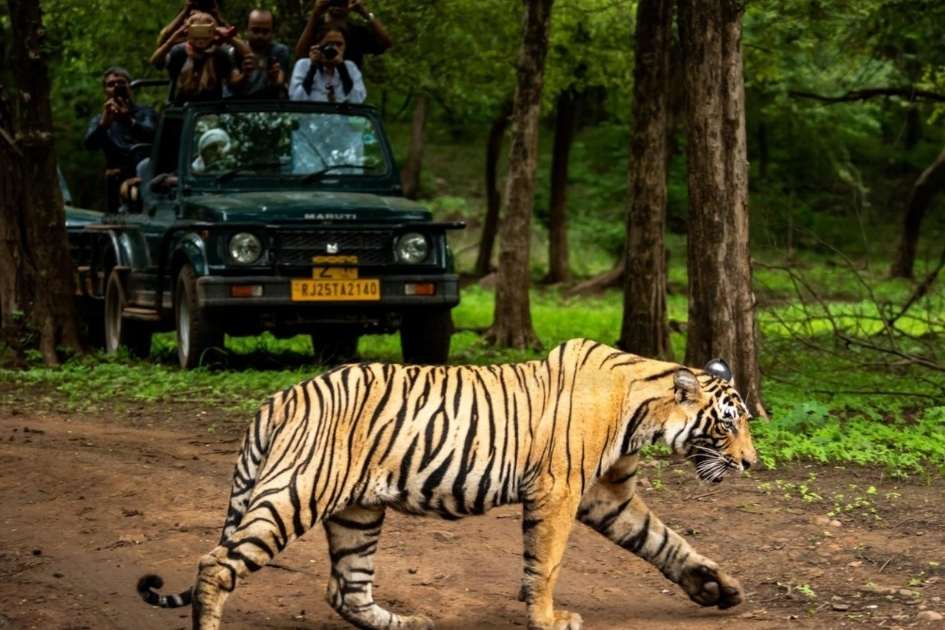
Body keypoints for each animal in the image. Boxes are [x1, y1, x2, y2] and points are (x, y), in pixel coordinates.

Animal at [137, 338, 757, 630]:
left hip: (358, 512)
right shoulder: (558, 491)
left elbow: (665, 541)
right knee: (216, 564)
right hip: (295, 493)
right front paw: (547, 619)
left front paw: (717, 588)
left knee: (346, 589)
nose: (751, 462)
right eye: (729, 423)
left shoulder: (608, 496)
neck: (643, 411)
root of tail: (279, 398)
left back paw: (408, 623)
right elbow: (547, 563)